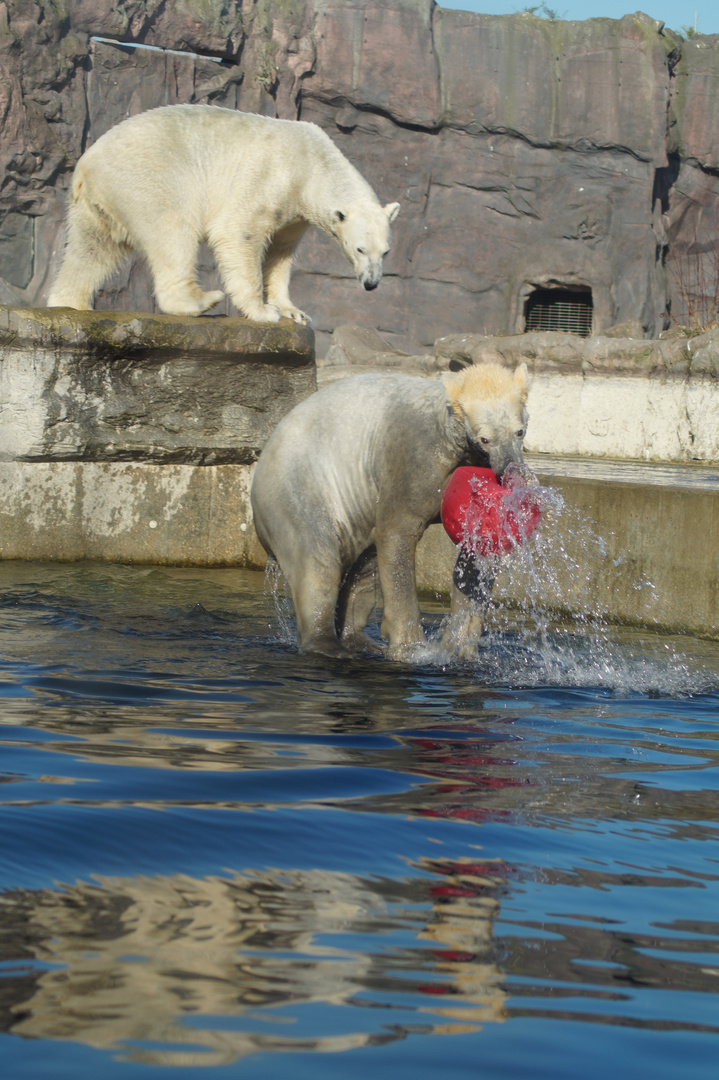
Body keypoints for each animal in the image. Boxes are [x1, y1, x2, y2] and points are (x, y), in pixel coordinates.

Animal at [48, 104, 399, 324]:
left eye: (385, 251)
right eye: (359, 249)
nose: (371, 283)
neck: (313, 162)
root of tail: (85, 167)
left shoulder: (295, 212)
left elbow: (281, 253)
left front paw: (293, 311)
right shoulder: (269, 176)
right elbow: (237, 232)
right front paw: (264, 312)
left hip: (98, 203)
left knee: (92, 250)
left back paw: (71, 302)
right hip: (147, 179)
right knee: (172, 230)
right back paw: (202, 300)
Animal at [250, 362, 526, 656]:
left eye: (519, 431)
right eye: (485, 439)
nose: (510, 468)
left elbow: (479, 547)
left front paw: (458, 646)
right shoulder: (415, 454)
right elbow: (398, 531)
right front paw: (411, 646)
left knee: (365, 564)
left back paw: (359, 640)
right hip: (297, 492)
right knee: (317, 562)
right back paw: (330, 645)